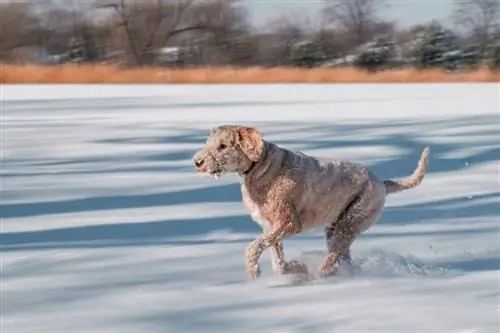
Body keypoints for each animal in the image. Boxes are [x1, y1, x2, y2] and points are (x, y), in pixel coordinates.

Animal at [192, 124, 430, 278]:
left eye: (223, 146)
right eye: (208, 142)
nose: (197, 162)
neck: (260, 168)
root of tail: (381, 182)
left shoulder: (288, 222)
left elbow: (252, 248)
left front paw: (254, 272)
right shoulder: (270, 227)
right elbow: (276, 259)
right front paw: (296, 269)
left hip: (351, 222)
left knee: (333, 256)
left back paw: (322, 274)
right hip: (336, 228)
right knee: (342, 257)